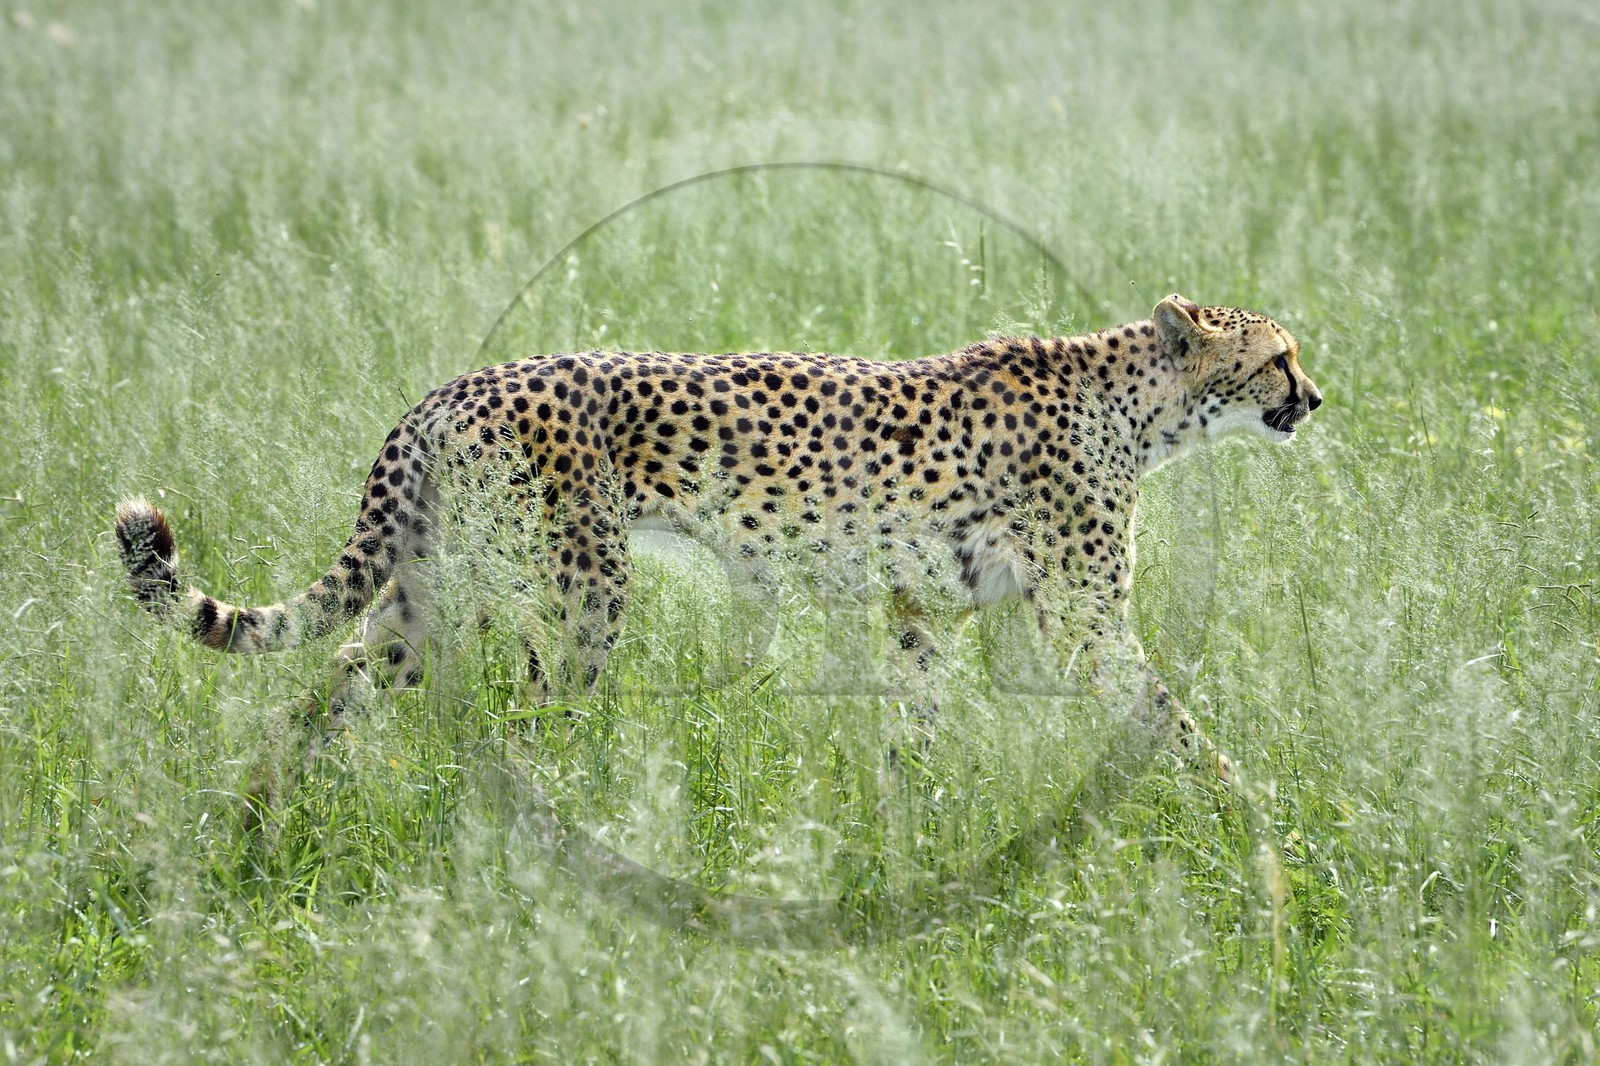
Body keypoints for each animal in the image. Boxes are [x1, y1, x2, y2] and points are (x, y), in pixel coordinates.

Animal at [115, 294, 1320, 786]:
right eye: (1277, 356)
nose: (1316, 397)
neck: (1141, 404)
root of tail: (453, 385)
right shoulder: (1082, 621)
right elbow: (1171, 715)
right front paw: (1242, 810)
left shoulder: (916, 608)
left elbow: (917, 725)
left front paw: (907, 818)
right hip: (578, 593)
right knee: (528, 720)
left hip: (435, 594)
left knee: (330, 682)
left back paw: (258, 822)